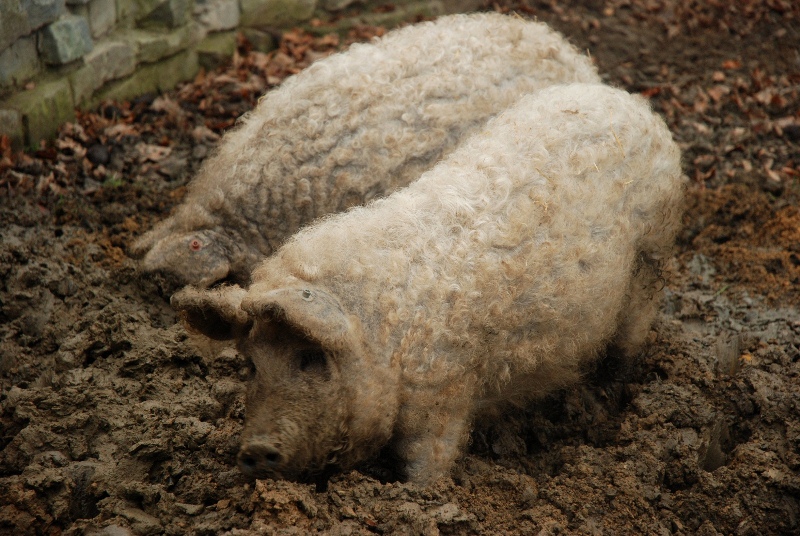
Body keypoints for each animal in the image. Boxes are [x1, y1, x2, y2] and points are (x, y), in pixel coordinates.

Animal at [171, 83, 685, 485]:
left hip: (655, 252)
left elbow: (427, 461)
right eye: (251, 365)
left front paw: (421, 496)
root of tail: (630, 102)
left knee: (630, 333)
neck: (379, 335)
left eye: (310, 359)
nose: (255, 450)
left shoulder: (445, 391)